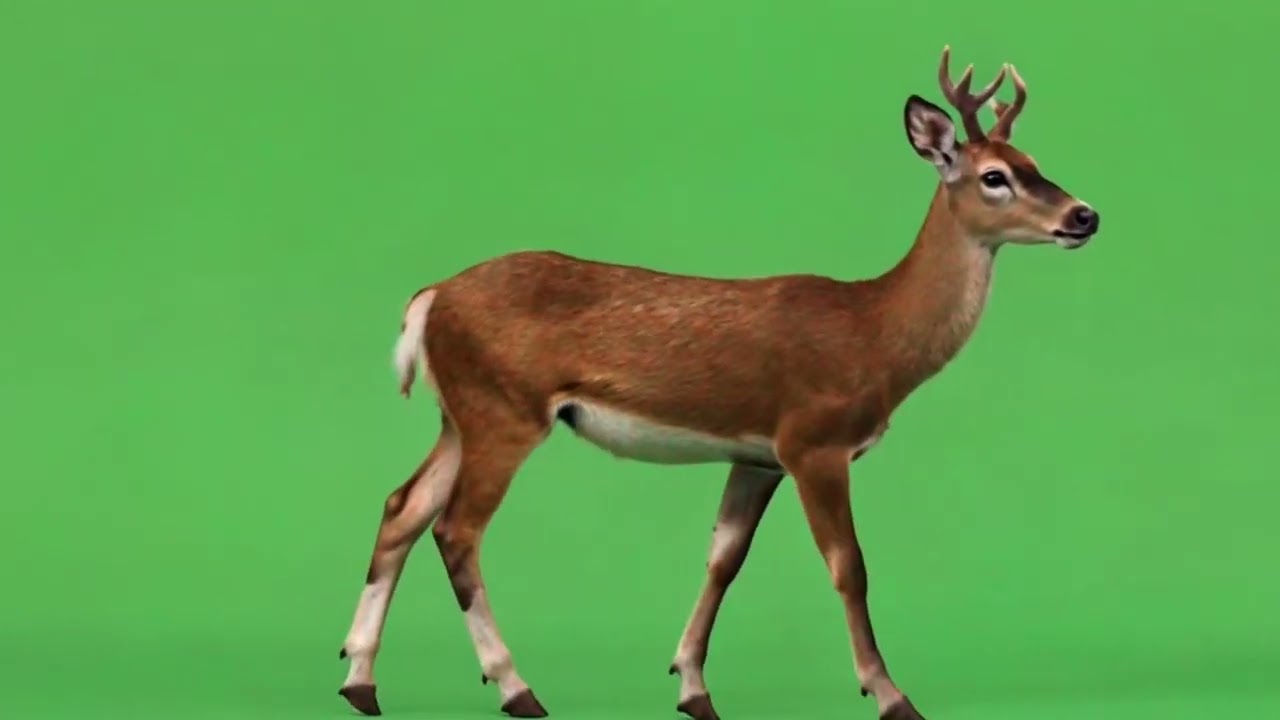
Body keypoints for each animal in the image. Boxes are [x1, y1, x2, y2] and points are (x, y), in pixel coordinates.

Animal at [336, 46, 1101, 720]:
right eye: (995, 176)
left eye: (1037, 164)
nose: (1084, 215)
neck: (874, 335)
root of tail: (431, 297)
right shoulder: (813, 440)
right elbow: (848, 564)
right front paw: (890, 695)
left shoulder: (756, 456)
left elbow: (723, 559)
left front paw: (692, 687)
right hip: (506, 409)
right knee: (457, 528)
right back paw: (515, 687)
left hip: (461, 412)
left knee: (403, 506)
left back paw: (360, 681)